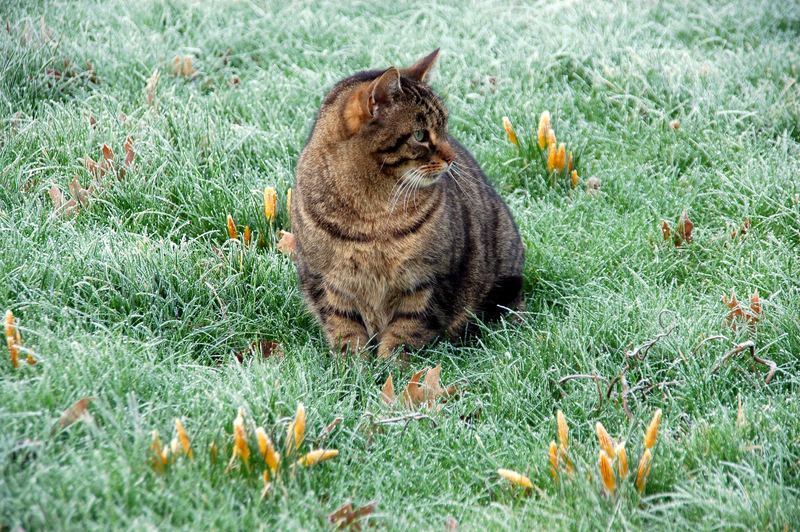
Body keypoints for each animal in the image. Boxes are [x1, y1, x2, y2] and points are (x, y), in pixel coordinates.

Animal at [290, 50, 520, 360]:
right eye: (420, 135)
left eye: (444, 129)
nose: (451, 158)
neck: (373, 211)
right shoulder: (328, 282)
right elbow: (345, 332)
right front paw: (352, 368)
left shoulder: (427, 282)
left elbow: (406, 334)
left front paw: (393, 369)